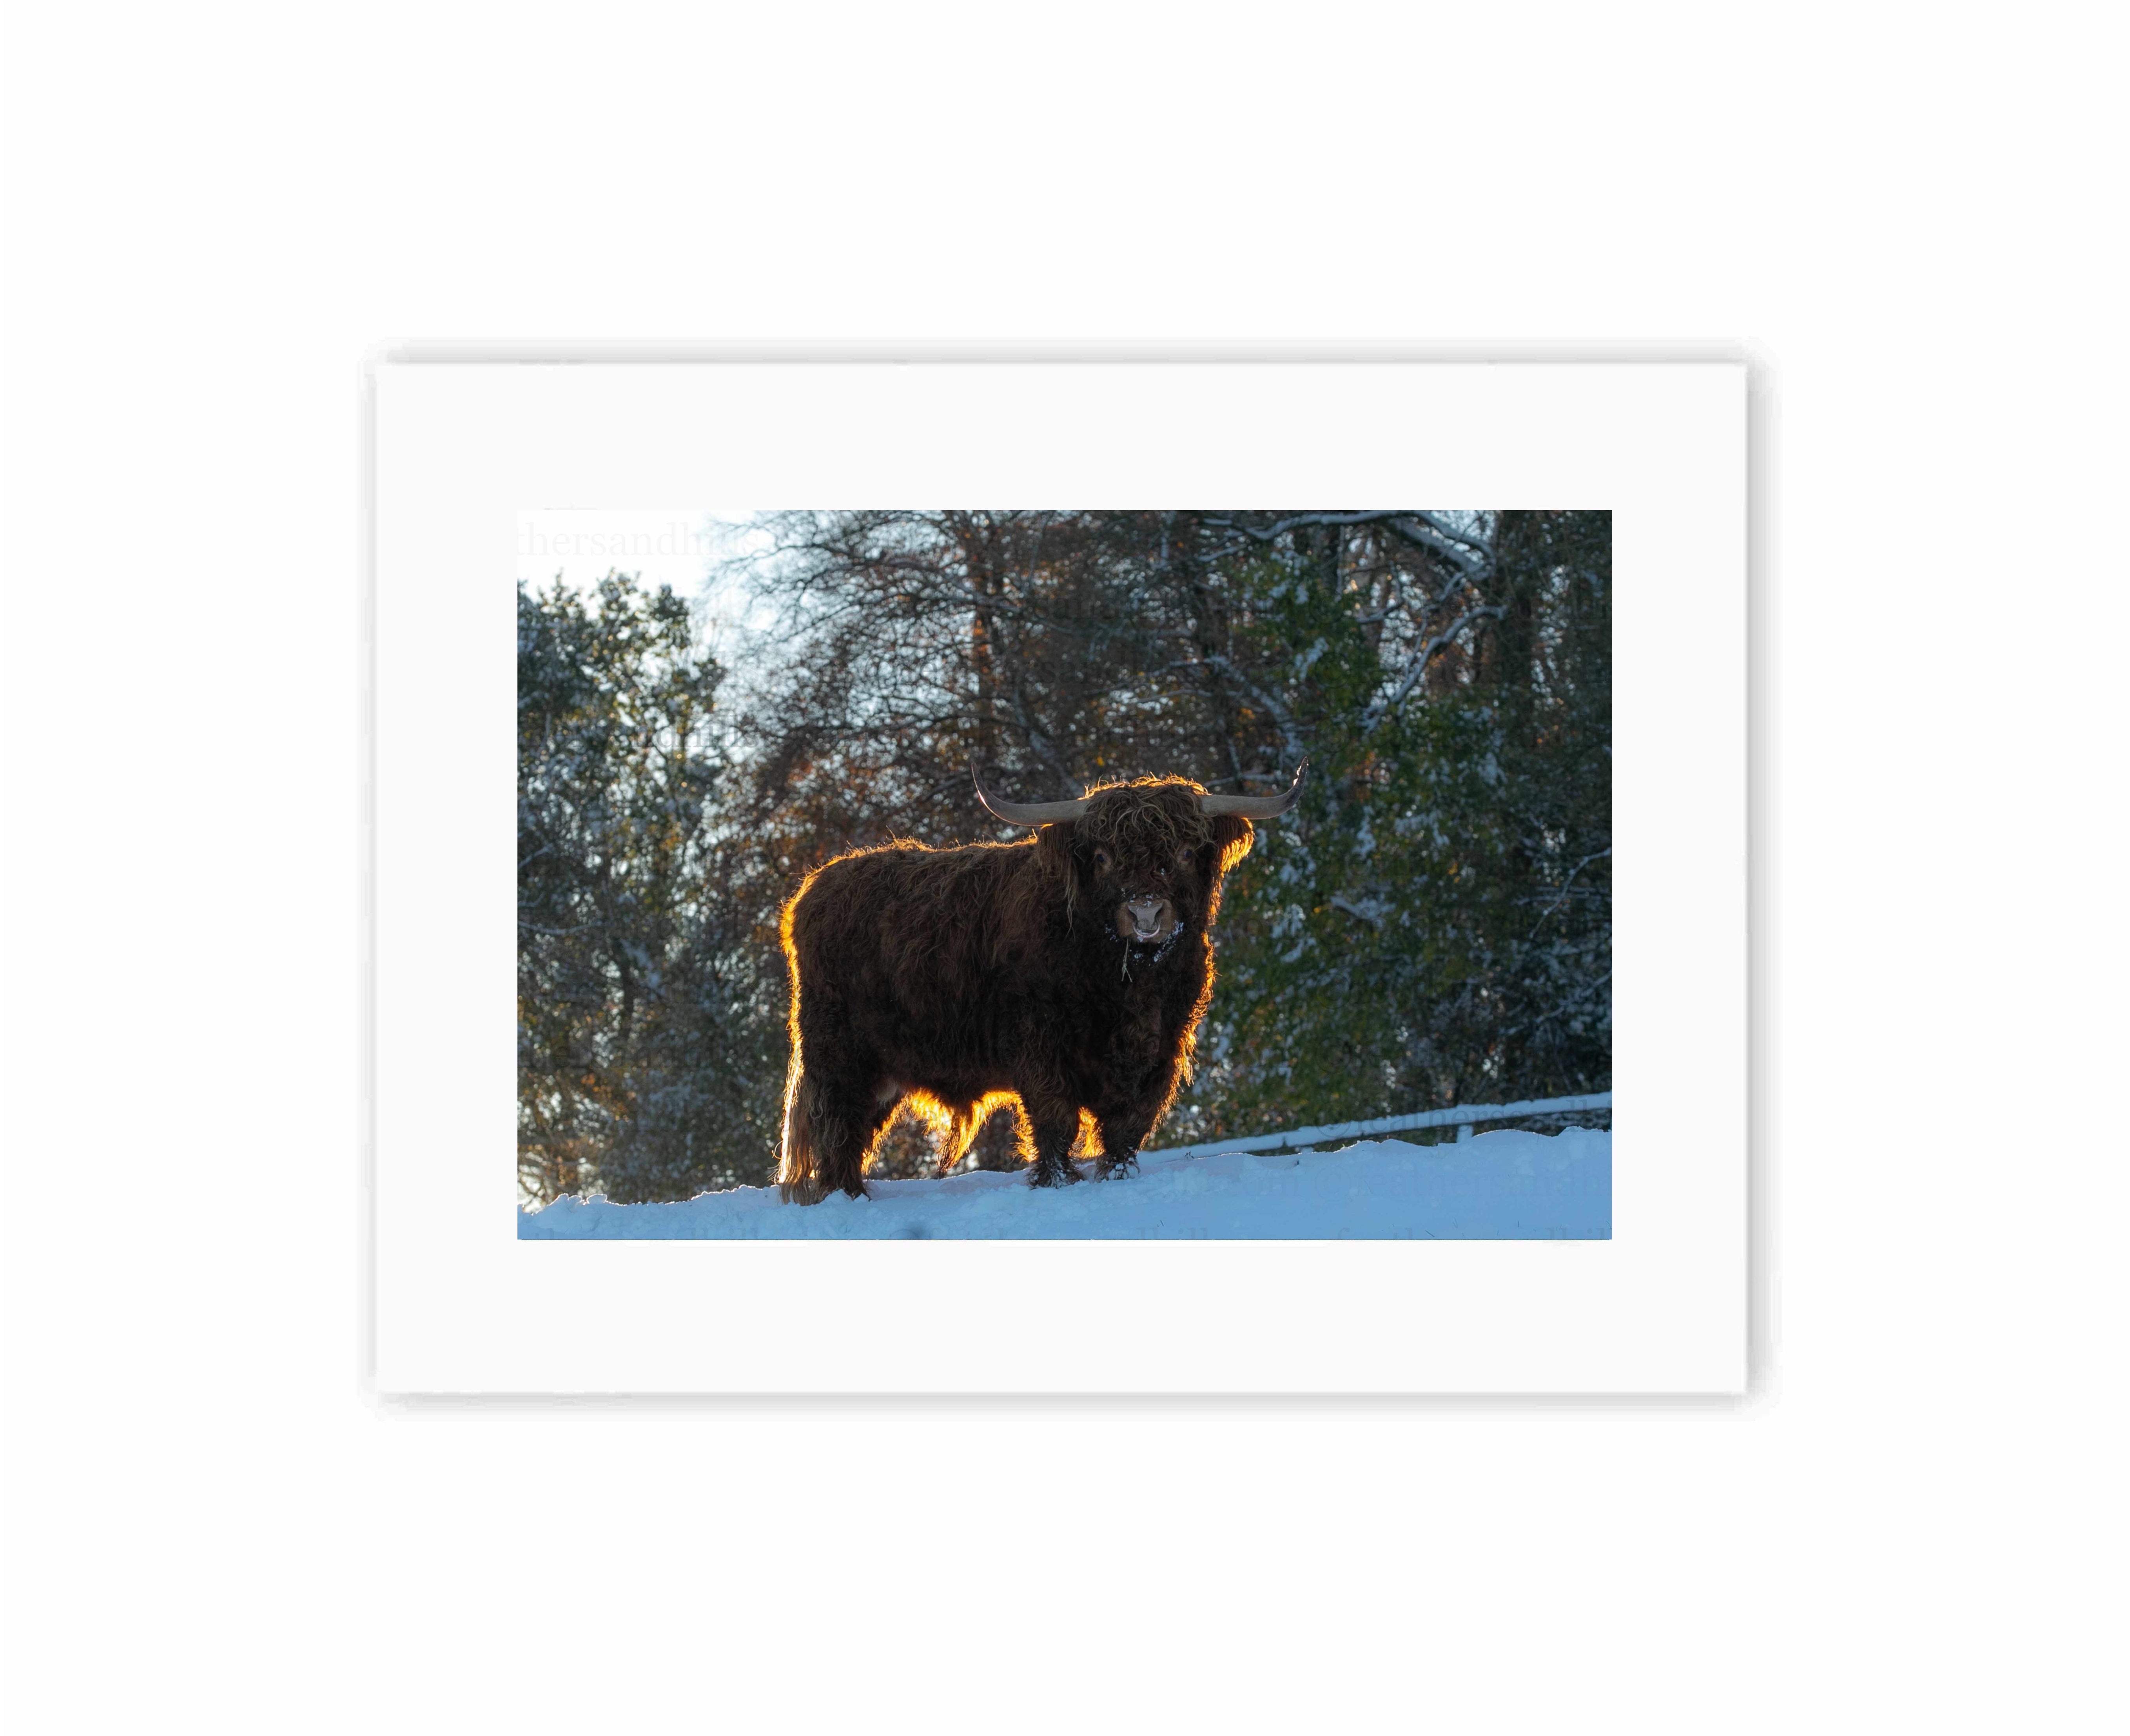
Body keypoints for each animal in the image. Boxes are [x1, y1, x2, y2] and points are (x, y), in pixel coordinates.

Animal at [774, 763, 1306, 1202]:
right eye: (1101, 856)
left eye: (1185, 851)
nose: (1146, 913)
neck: (1130, 987)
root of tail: (814, 888)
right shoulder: (1040, 1046)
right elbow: (1055, 1120)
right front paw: (1057, 1181)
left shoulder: (1161, 1051)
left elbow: (1128, 1126)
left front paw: (1118, 1176)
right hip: (837, 1053)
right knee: (839, 1128)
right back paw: (847, 1197)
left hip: (885, 1069)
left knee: (857, 1129)